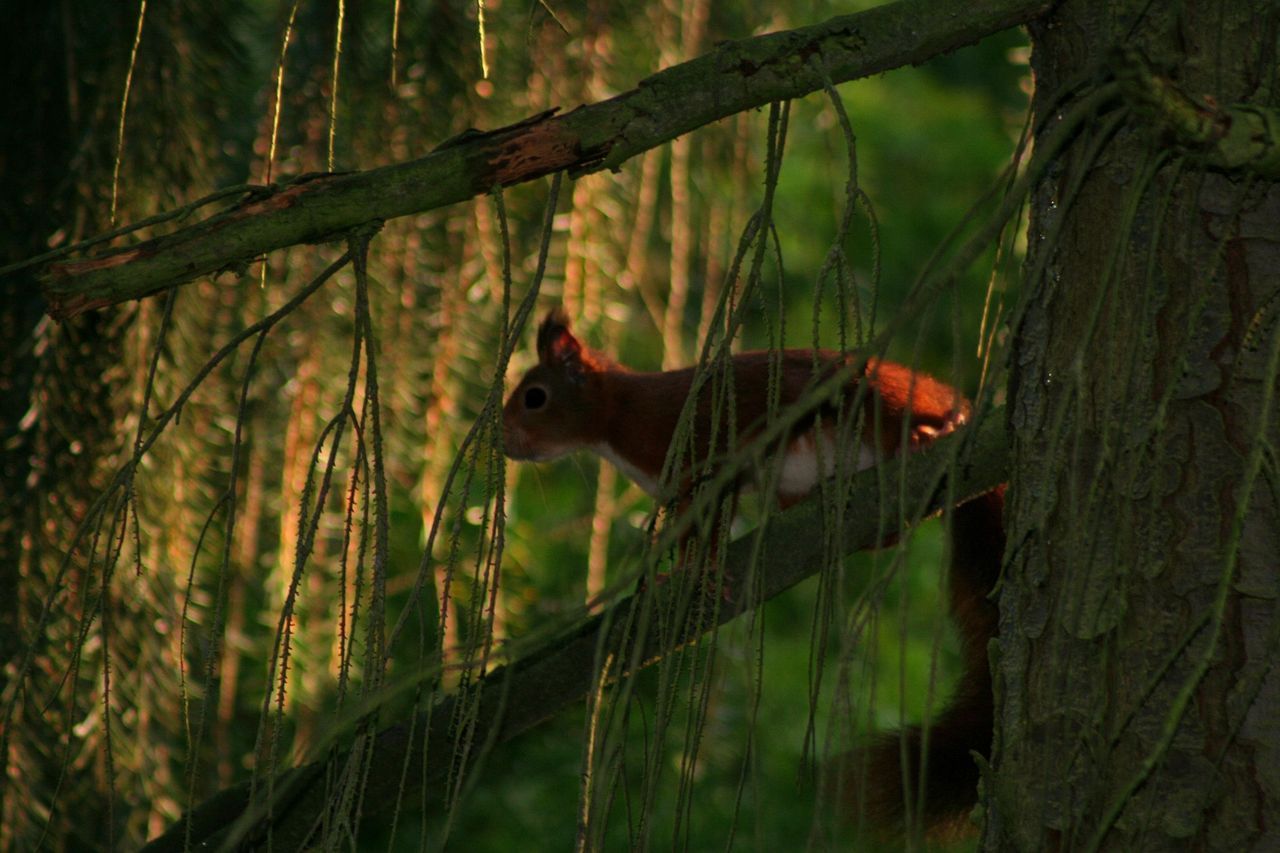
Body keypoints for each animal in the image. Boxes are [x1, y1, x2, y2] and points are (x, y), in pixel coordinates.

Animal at [504, 306, 1003, 829]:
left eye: (534, 397)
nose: (502, 442)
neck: (618, 415)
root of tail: (943, 393)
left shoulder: (701, 448)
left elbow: (707, 519)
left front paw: (697, 571)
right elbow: (699, 525)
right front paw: (678, 572)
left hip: (870, 397)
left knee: (893, 418)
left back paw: (929, 434)